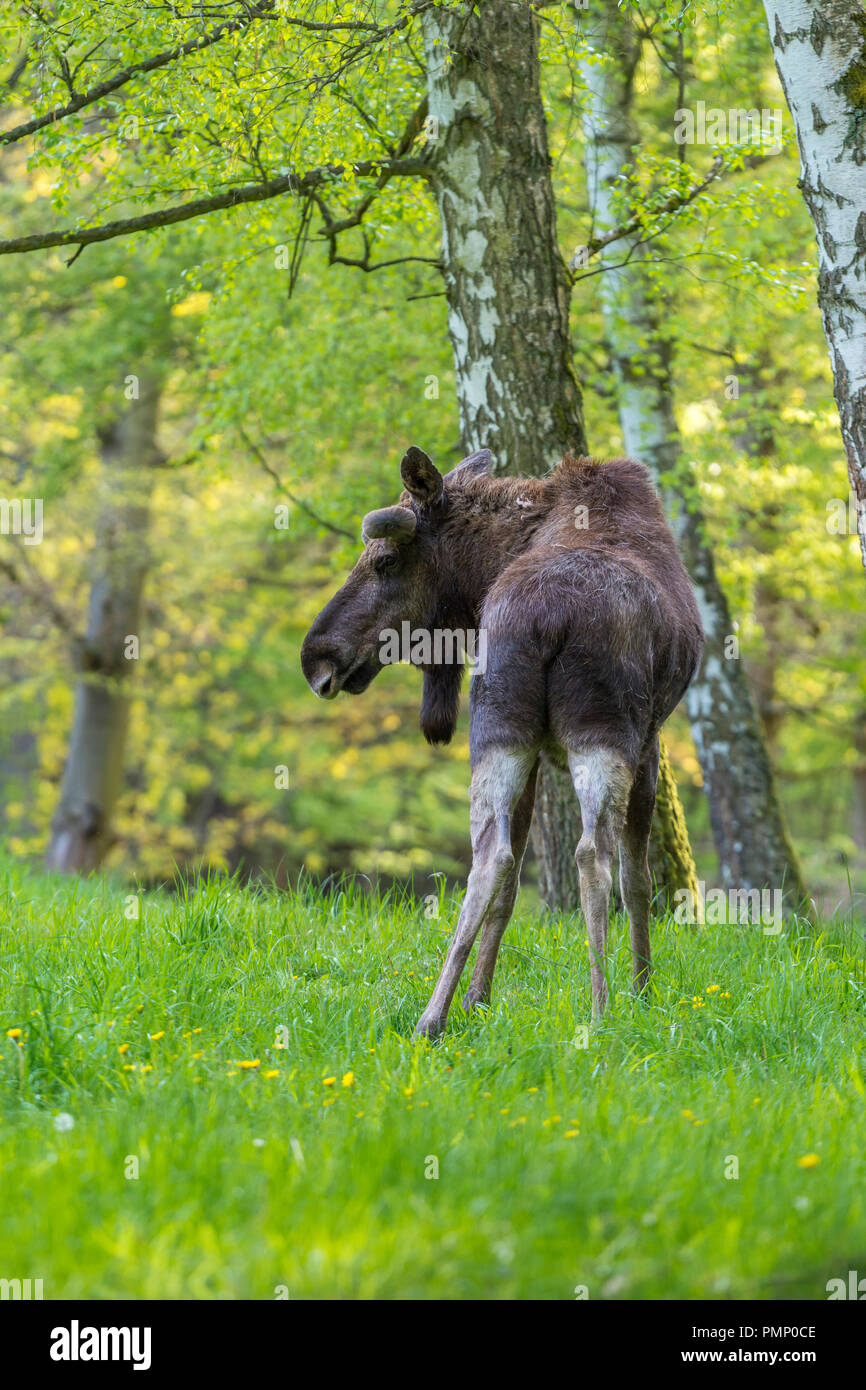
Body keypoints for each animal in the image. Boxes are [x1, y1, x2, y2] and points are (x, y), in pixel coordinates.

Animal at [301, 446, 704, 1038]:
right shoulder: (651, 741)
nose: (316, 659)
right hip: (605, 731)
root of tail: (548, 618)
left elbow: (510, 886)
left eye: (385, 562)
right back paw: (601, 1010)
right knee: (593, 855)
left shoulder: (531, 751)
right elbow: (639, 880)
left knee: (490, 859)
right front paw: (645, 993)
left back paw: (433, 1016)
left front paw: (478, 999)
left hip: (497, 733)